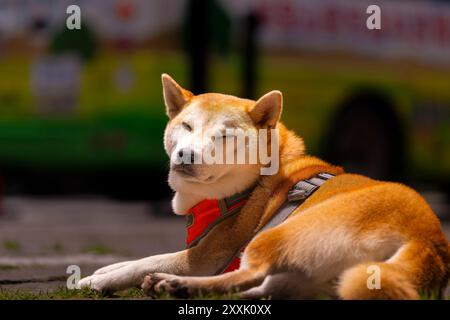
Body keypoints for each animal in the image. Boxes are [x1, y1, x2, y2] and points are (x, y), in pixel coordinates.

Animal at [79, 74, 448, 298]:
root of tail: (429, 242)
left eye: (224, 136)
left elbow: (145, 260)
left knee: (247, 274)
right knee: (259, 287)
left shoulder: (208, 255)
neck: (257, 180)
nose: (186, 154)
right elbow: (132, 260)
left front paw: (95, 279)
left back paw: (174, 283)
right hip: (307, 277)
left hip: (275, 235)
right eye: (186, 126)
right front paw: (106, 269)